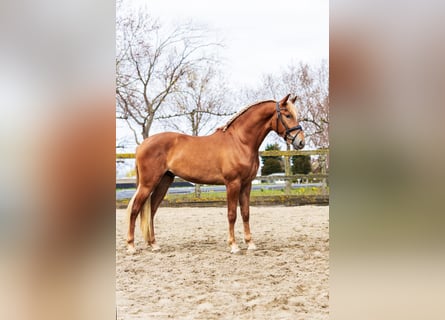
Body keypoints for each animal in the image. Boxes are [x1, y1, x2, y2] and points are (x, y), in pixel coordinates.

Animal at [126, 94, 304, 254]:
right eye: (287, 115)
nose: (301, 141)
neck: (240, 141)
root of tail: (142, 145)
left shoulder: (247, 184)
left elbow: (245, 213)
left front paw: (250, 243)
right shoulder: (232, 183)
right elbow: (232, 214)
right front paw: (234, 246)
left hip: (164, 182)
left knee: (151, 211)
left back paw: (154, 244)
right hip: (148, 184)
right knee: (135, 209)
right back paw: (131, 246)